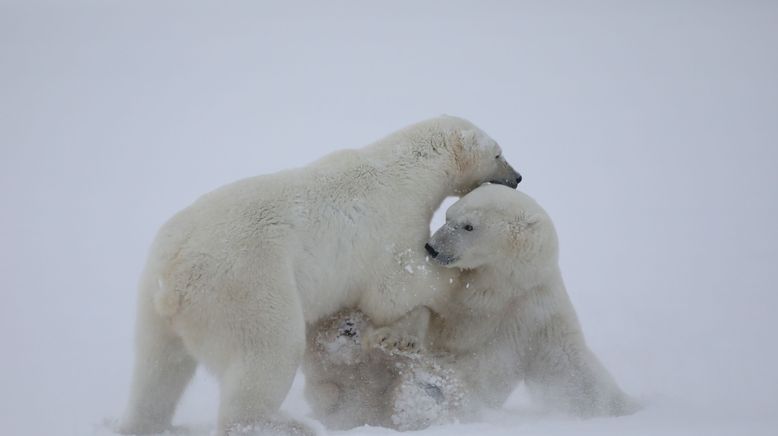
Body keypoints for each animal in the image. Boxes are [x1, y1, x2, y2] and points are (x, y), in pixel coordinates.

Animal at [118, 114, 520, 434]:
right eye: (498, 153)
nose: (517, 177)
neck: (407, 172)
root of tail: (174, 277)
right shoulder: (389, 226)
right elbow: (395, 286)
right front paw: (454, 281)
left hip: (153, 297)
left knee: (157, 370)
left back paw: (144, 422)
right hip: (246, 283)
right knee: (268, 352)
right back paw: (285, 424)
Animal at [304, 184, 636, 430]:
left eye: (468, 226)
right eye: (447, 215)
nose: (432, 247)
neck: (493, 288)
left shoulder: (535, 309)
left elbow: (574, 370)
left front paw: (629, 408)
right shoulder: (450, 292)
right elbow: (422, 311)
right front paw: (398, 338)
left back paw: (423, 394)